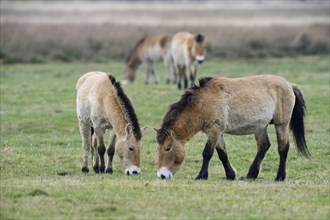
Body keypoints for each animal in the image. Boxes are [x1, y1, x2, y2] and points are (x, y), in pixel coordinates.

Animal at [155, 75, 310, 181]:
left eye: (167, 148)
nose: (162, 175)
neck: (203, 102)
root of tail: (289, 85)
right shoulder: (215, 132)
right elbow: (222, 154)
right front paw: (230, 175)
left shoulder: (215, 129)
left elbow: (207, 153)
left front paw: (201, 176)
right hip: (260, 127)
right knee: (263, 146)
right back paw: (251, 175)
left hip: (281, 125)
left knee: (283, 148)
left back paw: (279, 177)